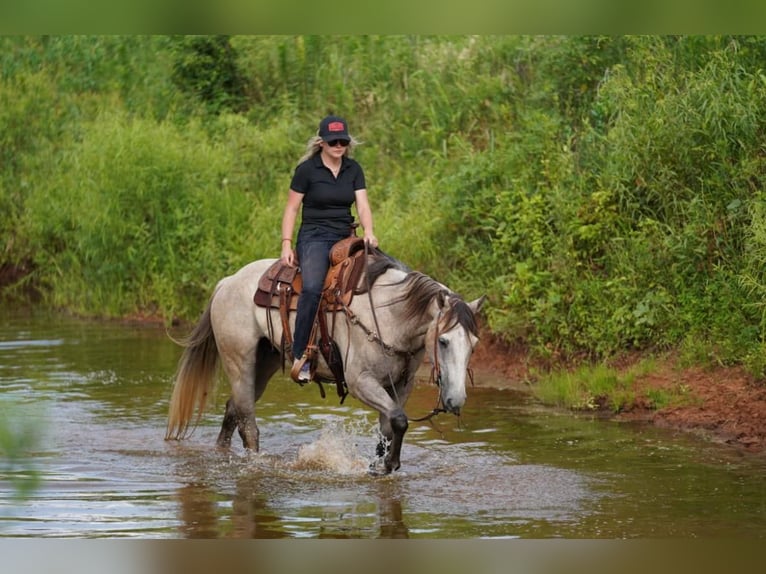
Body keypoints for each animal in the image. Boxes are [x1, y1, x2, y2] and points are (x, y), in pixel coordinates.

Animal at [165, 250, 485, 473]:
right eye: (443, 341)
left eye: (473, 345)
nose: (456, 401)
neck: (388, 315)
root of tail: (226, 283)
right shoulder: (361, 382)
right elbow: (400, 420)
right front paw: (389, 465)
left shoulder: (399, 386)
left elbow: (389, 427)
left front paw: (379, 466)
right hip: (239, 363)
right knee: (247, 423)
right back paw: (256, 464)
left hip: (264, 364)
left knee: (234, 411)